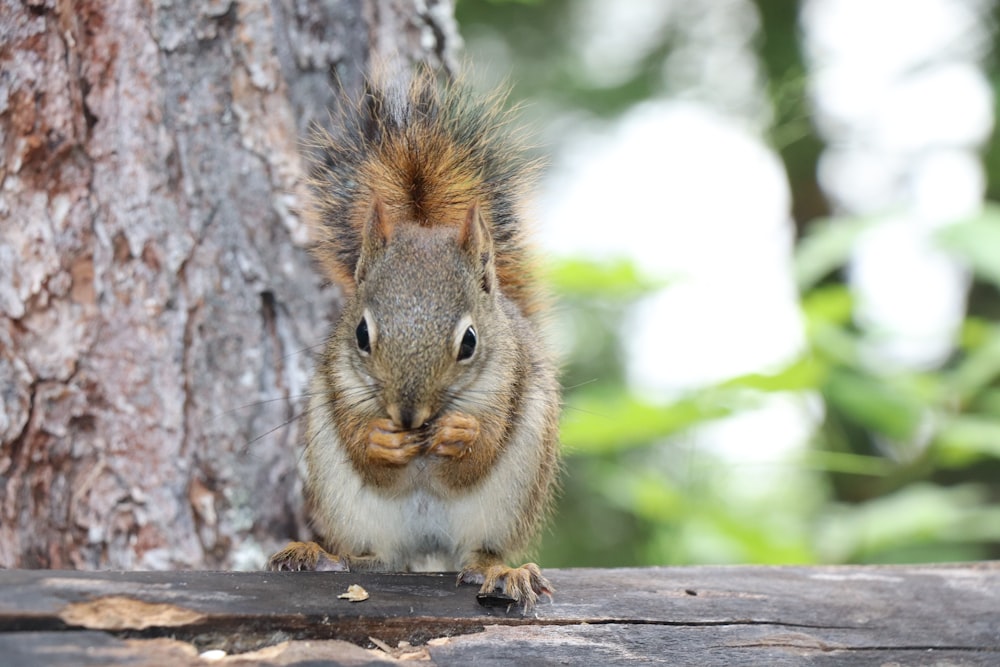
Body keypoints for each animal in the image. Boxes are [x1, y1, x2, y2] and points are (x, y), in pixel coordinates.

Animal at [266, 65, 564, 612]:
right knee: (372, 558)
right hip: (351, 507)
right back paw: (317, 555)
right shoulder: (341, 386)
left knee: (480, 553)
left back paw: (504, 572)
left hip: (507, 501)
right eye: (361, 334)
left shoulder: (507, 387)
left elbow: (479, 455)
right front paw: (382, 441)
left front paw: (461, 435)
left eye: (469, 342)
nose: (407, 417)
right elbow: (366, 456)